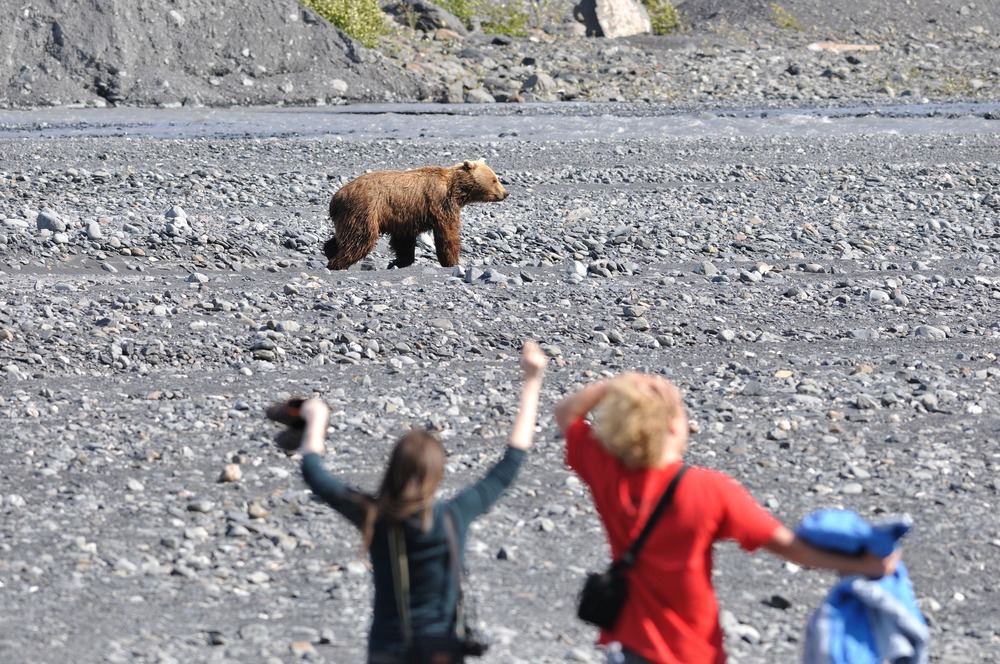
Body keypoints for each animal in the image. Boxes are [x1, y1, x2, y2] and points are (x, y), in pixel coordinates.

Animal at [322, 160, 508, 270]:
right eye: (494, 179)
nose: (506, 193)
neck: (456, 190)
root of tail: (336, 197)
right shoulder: (440, 203)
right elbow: (447, 235)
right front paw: (453, 261)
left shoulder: (406, 214)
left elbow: (404, 240)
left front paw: (399, 261)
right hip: (364, 209)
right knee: (361, 237)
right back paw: (338, 263)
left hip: (349, 215)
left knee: (347, 236)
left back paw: (330, 250)